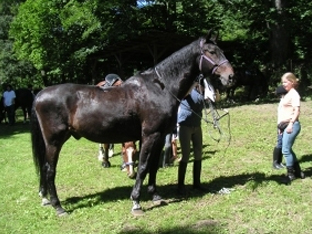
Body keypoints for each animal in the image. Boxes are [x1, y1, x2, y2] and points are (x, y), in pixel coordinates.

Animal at [30, 30, 234, 217]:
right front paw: (136, 202)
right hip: (54, 142)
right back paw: (58, 207)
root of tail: (39, 95)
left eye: (221, 50)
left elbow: (152, 166)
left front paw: (155, 195)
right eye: (211, 52)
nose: (230, 76)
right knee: (49, 170)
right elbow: (143, 167)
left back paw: (46, 199)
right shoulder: (150, 135)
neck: (159, 88)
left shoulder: (159, 136)